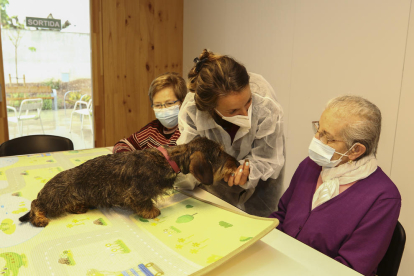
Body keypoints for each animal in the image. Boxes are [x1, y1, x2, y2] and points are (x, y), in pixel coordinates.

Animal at [18, 137, 239, 227]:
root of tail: (46, 188)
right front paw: (151, 211)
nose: (237, 163)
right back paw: (39, 218)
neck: (168, 160)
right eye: (219, 153)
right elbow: (143, 202)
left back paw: (78, 206)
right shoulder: (136, 192)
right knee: (36, 204)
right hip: (55, 198)